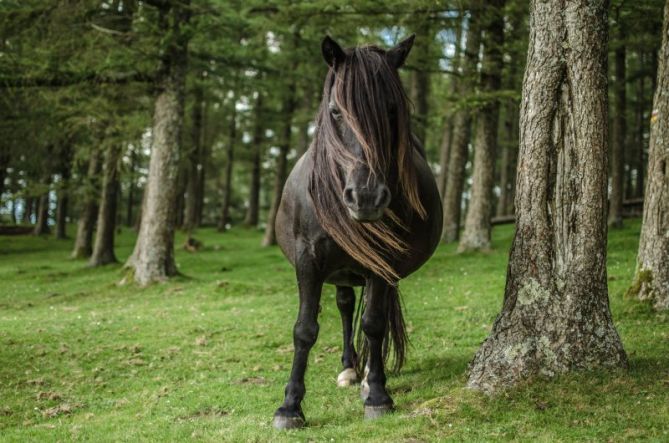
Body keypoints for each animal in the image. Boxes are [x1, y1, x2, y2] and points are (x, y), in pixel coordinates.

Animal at [274, 35, 440, 430]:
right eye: (336, 111)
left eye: (392, 110)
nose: (366, 197)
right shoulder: (308, 260)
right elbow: (304, 330)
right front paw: (290, 406)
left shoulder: (382, 262)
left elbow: (375, 324)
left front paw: (377, 394)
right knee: (345, 305)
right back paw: (350, 368)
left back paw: (366, 377)